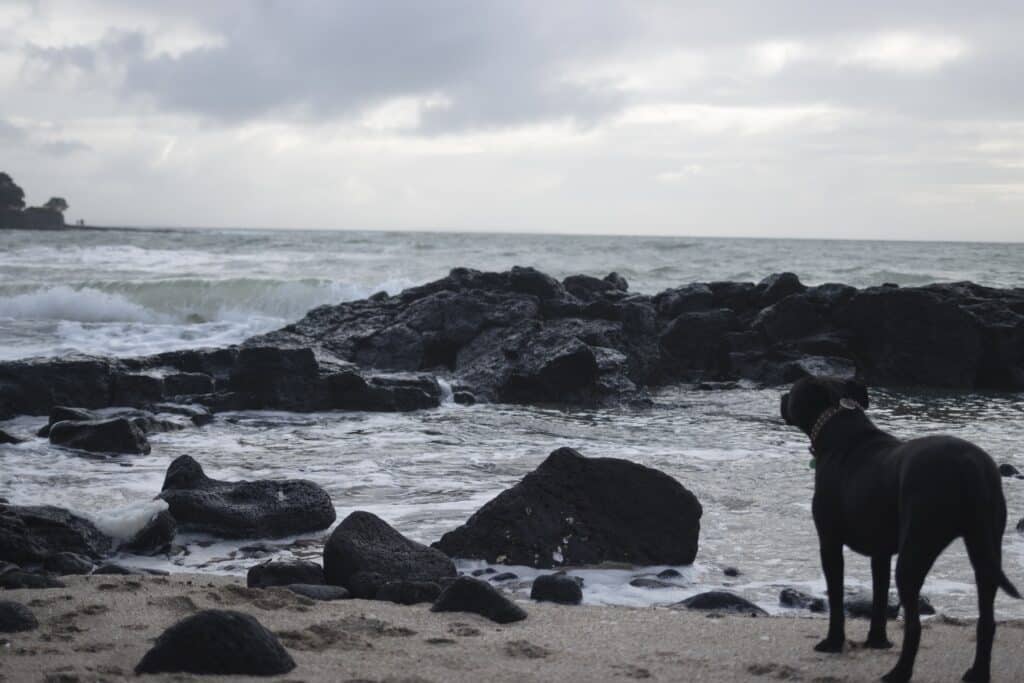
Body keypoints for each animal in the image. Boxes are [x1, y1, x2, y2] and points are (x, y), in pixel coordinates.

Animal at [778, 376, 1019, 679]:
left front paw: (833, 642)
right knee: (987, 618)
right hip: (985, 545)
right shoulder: (880, 551)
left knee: (914, 626)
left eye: (793, 389)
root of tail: (971, 465)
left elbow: (836, 596)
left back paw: (900, 672)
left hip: (917, 546)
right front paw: (877, 641)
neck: (840, 427)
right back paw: (977, 673)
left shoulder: (829, 542)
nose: (781, 398)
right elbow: (880, 597)